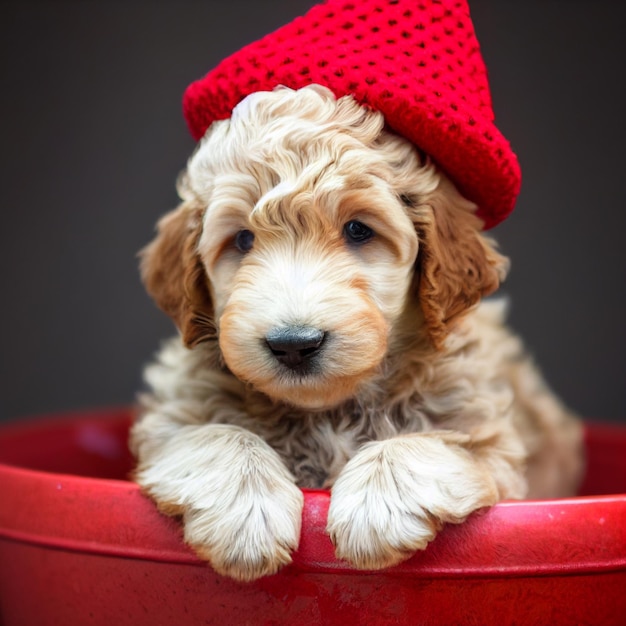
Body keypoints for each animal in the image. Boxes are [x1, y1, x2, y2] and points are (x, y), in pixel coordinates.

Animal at [129, 84, 584, 580]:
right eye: (243, 240)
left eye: (358, 230)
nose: (293, 345)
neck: (329, 412)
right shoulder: (168, 423)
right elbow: (216, 435)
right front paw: (246, 514)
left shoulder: (487, 433)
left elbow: (431, 441)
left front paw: (377, 506)